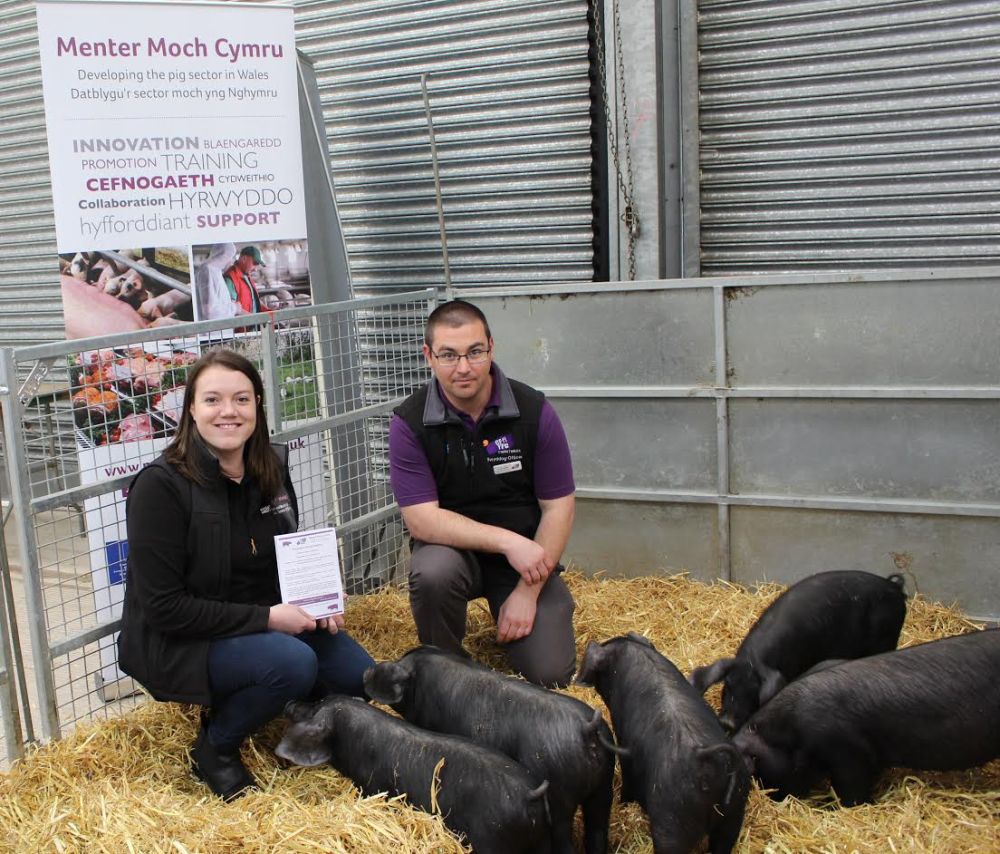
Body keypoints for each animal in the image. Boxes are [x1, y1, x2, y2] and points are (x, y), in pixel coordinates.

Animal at [576, 632, 748, 852]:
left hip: (672, 823)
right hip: (734, 812)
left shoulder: (624, 744)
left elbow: (628, 780)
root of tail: (705, 759)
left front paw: (623, 804)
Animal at [688, 572, 908, 732]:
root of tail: (895, 587)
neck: (753, 661)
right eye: (727, 686)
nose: (727, 722)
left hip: (887, 637)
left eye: (755, 692)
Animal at [732, 628, 1000, 808]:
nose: (774, 799)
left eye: (757, 767)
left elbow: (853, 790)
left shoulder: (848, 751)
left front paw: (835, 807)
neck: (791, 733)